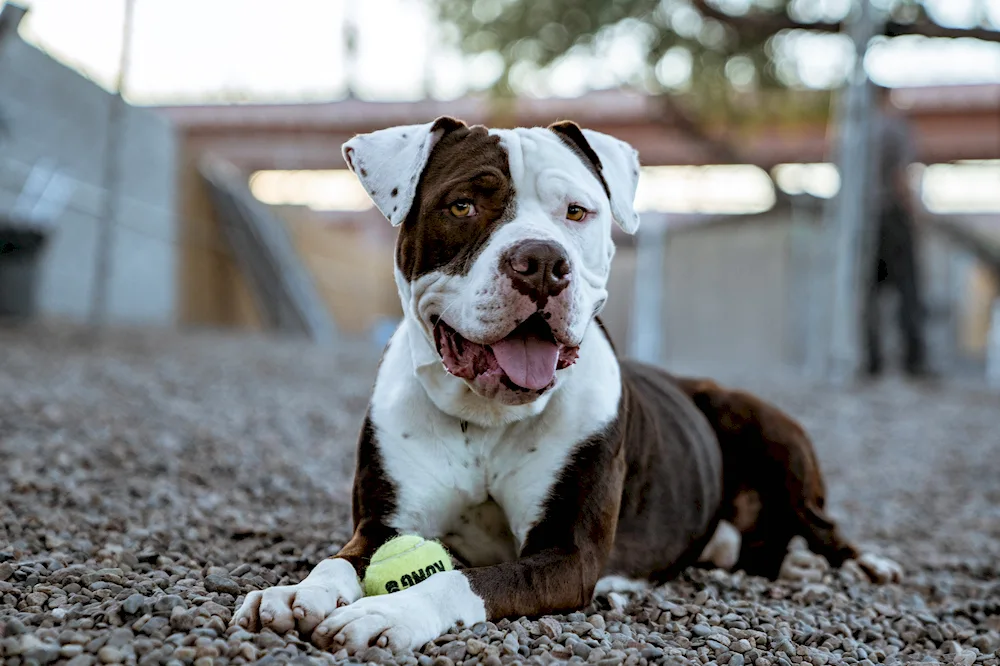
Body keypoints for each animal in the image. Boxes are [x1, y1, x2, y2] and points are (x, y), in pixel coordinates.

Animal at [230, 116, 904, 652]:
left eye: (577, 212)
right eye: (463, 205)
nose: (542, 262)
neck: (488, 416)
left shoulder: (566, 554)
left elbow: (460, 579)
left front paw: (388, 612)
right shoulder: (384, 525)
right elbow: (337, 562)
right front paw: (294, 593)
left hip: (770, 427)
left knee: (822, 524)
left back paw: (867, 566)